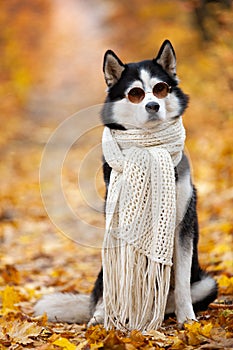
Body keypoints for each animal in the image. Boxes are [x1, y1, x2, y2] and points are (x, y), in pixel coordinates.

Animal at [35, 41, 218, 328]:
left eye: (160, 88)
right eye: (135, 94)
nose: (153, 105)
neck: (149, 147)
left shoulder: (183, 224)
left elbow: (182, 282)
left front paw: (187, 319)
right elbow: (120, 281)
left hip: (206, 283)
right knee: (104, 293)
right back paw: (101, 316)